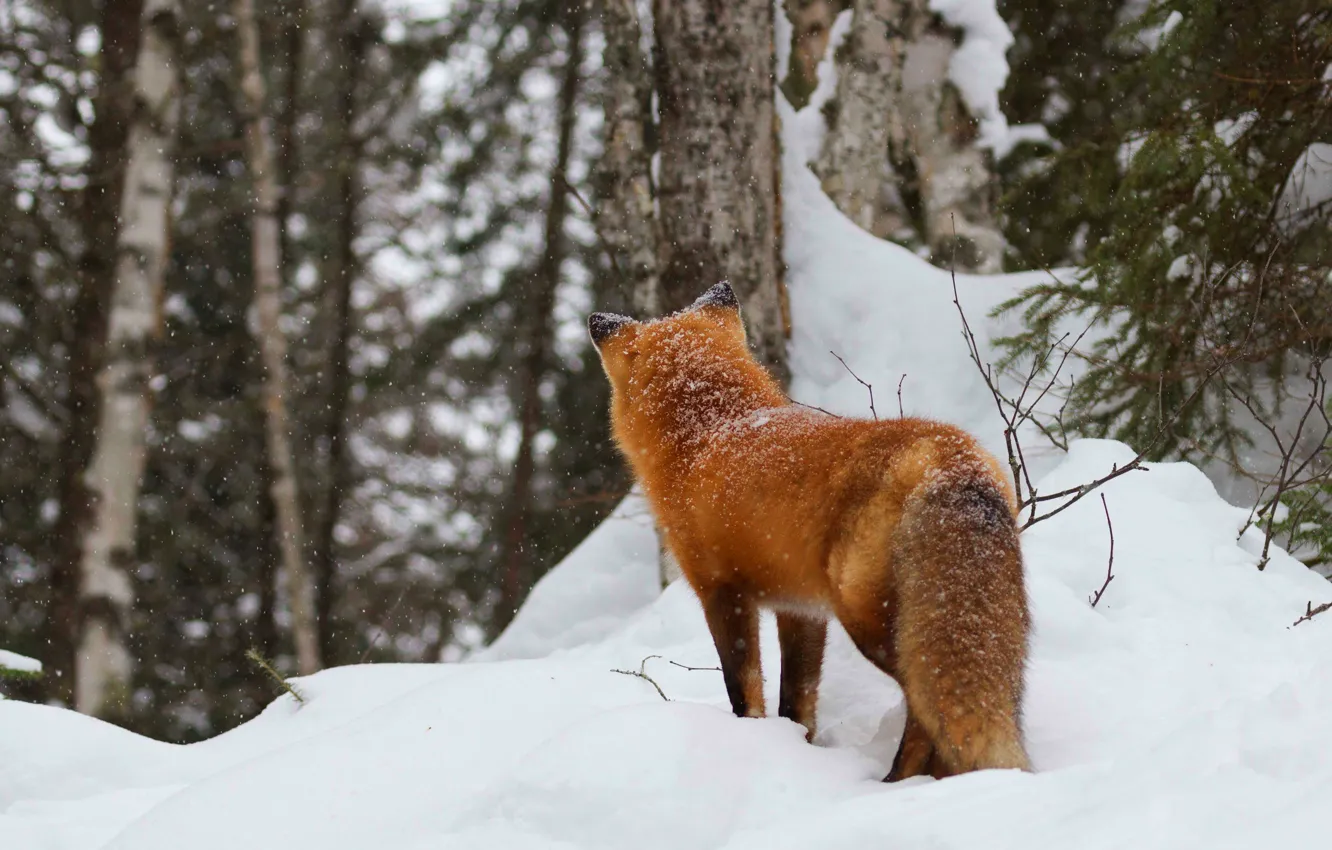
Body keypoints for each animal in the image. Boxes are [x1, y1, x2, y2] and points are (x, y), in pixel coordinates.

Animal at [588, 282, 1033, 783]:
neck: (710, 428)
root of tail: (943, 457)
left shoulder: (722, 593)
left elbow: (744, 690)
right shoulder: (800, 609)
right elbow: (797, 703)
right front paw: (797, 752)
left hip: (871, 620)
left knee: (924, 708)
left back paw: (898, 782)